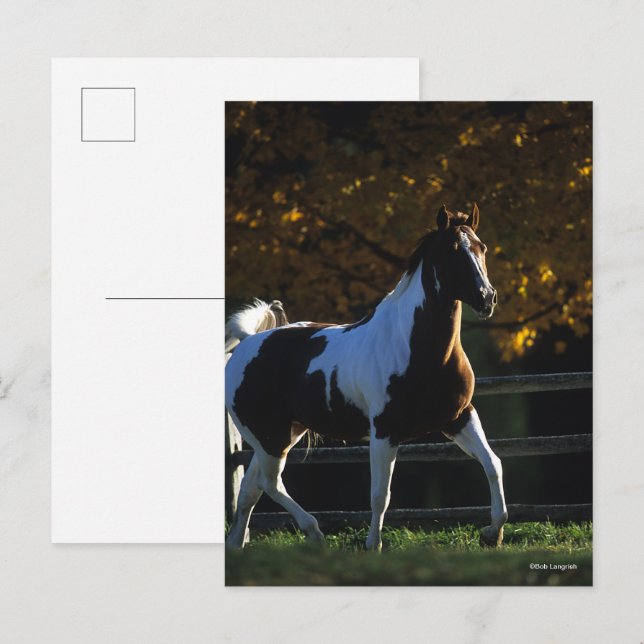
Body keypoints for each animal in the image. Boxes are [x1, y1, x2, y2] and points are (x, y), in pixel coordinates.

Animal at [225, 203, 508, 551]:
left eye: (482, 248)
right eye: (453, 250)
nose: (486, 298)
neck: (418, 350)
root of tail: (248, 342)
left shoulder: (459, 418)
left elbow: (492, 464)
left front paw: (492, 534)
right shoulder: (384, 431)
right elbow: (379, 495)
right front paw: (373, 545)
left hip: (283, 434)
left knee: (252, 487)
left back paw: (237, 544)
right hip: (269, 436)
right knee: (269, 482)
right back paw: (314, 533)